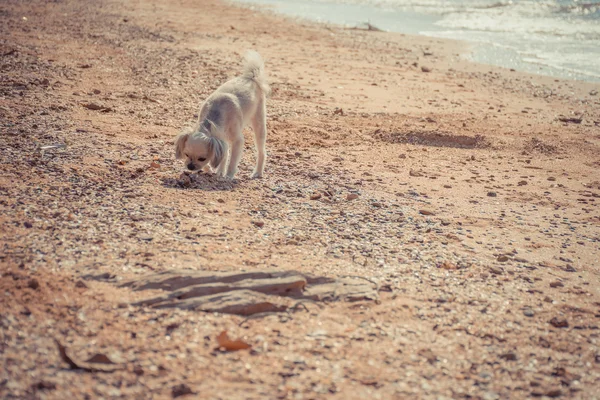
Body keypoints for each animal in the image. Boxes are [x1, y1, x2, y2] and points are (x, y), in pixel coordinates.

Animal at [176, 50, 270, 179]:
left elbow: (232, 160)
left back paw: (258, 172)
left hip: (259, 124)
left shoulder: (237, 141)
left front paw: (229, 175)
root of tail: (251, 78)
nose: (190, 166)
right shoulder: (221, 139)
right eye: (186, 154)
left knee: (262, 152)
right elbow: (223, 156)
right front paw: (216, 171)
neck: (213, 117)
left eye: (202, 158)